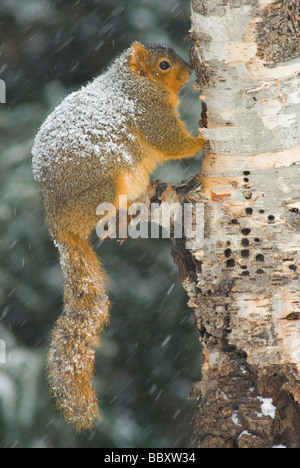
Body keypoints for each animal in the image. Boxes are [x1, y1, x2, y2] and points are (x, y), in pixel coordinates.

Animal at [32, 42, 206, 430]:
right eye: (164, 65)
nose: (191, 72)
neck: (133, 81)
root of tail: (59, 225)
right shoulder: (148, 112)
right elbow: (171, 142)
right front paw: (204, 135)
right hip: (106, 184)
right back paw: (120, 218)